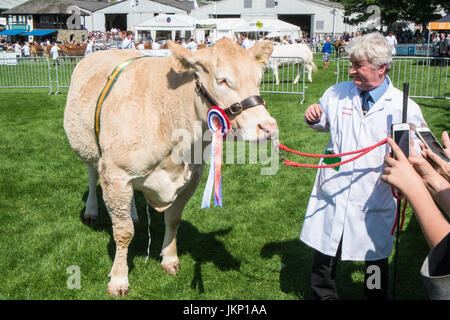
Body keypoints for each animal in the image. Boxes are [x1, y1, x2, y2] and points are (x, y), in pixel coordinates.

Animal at [61, 38, 276, 298]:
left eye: (258, 79)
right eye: (222, 80)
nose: (268, 127)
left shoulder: (193, 175)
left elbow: (173, 219)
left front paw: (170, 259)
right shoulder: (115, 173)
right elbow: (123, 232)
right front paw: (119, 279)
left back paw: (134, 214)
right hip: (90, 149)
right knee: (93, 176)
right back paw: (92, 209)